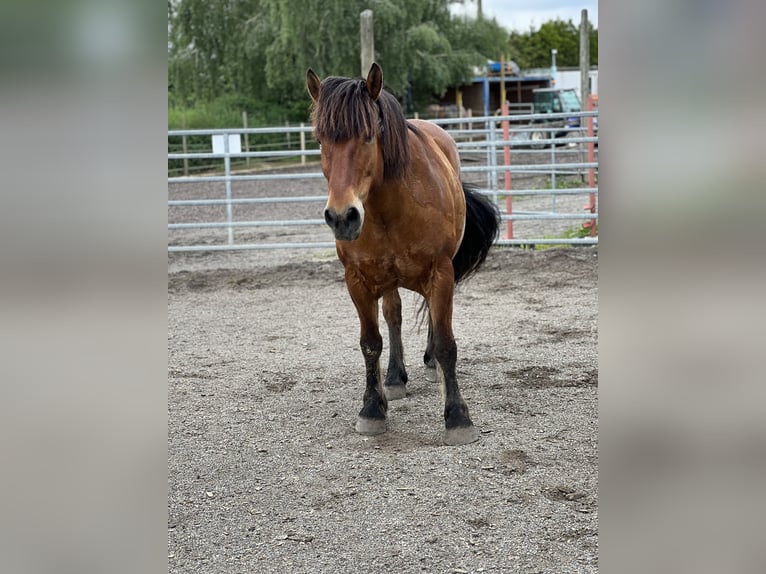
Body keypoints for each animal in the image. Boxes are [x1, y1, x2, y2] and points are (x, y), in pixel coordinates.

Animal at [308, 64, 500, 450]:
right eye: (320, 139)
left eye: (368, 136)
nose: (342, 217)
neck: (390, 207)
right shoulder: (358, 280)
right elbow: (371, 343)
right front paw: (372, 409)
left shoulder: (441, 272)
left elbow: (445, 342)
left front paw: (458, 417)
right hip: (388, 279)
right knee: (393, 315)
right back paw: (395, 377)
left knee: (432, 321)